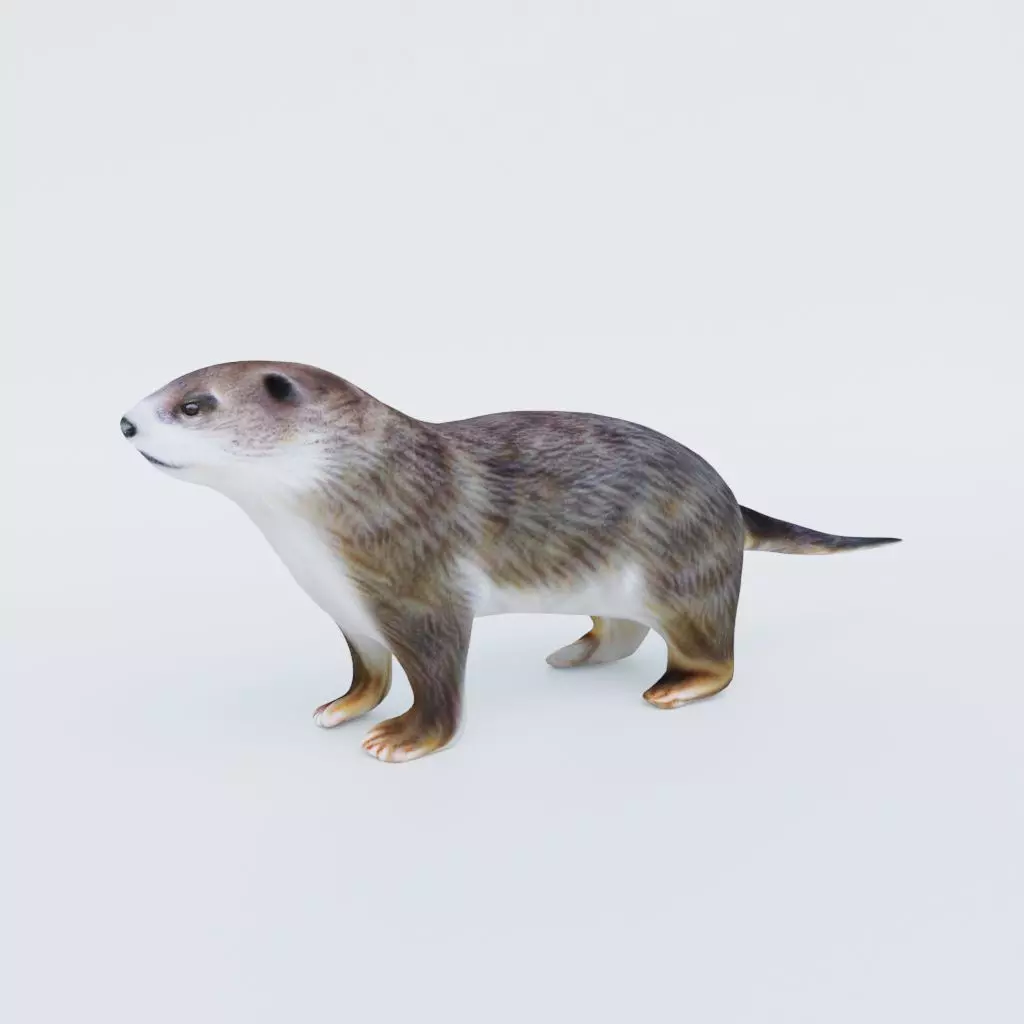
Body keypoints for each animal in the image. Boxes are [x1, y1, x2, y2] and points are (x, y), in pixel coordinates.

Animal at [120, 361, 900, 762]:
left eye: (193, 405)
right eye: (167, 386)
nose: (126, 420)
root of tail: (729, 499)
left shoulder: (422, 593)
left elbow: (438, 681)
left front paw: (406, 737)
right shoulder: (349, 606)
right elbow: (367, 673)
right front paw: (341, 707)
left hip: (684, 571)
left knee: (713, 653)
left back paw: (675, 689)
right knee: (622, 630)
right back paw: (575, 653)